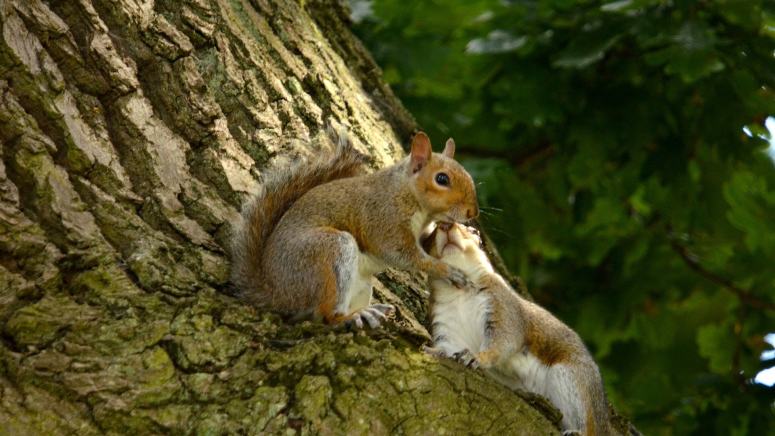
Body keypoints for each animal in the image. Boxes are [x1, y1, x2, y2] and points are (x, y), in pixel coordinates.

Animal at [230, 129, 478, 328]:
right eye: (442, 179)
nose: (472, 213)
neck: (407, 193)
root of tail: (277, 293)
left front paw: (459, 230)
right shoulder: (384, 220)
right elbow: (402, 255)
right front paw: (447, 270)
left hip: (360, 283)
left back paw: (366, 312)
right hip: (327, 252)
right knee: (324, 315)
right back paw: (349, 317)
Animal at [424, 223, 612, 434]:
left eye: (473, 232)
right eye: (427, 238)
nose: (445, 225)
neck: (460, 292)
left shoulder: (503, 306)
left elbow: (505, 340)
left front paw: (477, 357)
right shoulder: (447, 326)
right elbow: (449, 347)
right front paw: (432, 350)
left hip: (573, 379)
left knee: (588, 424)